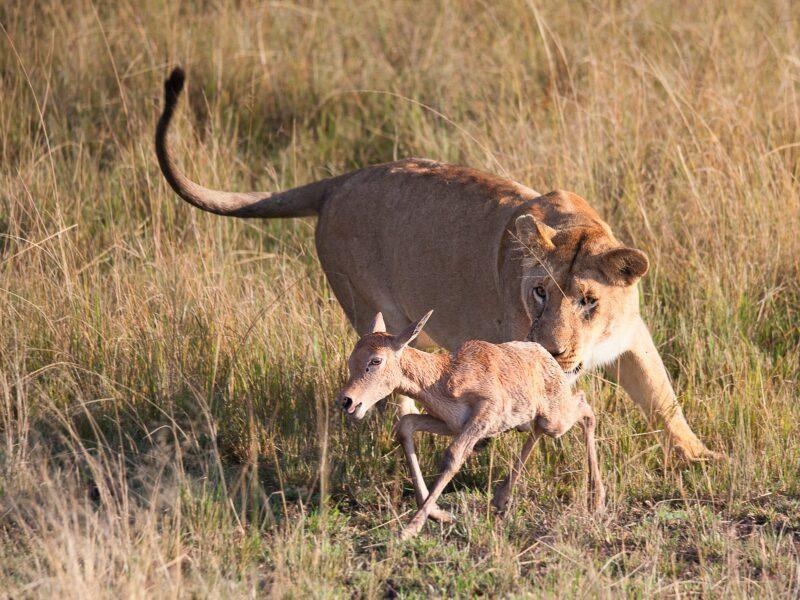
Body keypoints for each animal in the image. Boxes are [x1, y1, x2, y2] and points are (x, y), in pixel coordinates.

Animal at [155, 67, 718, 461]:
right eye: (539, 292)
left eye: (588, 300)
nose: (555, 351)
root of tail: (341, 180)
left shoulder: (633, 338)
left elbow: (663, 398)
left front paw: (700, 457)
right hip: (366, 305)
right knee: (381, 360)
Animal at [337, 310, 605, 540]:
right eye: (351, 359)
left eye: (376, 360)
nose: (347, 401)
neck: (443, 375)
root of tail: (545, 355)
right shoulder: (450, 424)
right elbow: (405, 425)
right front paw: (440, 515)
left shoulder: (485, 412)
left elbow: (453, 455)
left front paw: (409, 530)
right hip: (534, 420)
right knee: (540, 429)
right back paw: (501, 498)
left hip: (555, 419)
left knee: (585, 408)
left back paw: (597, 499)